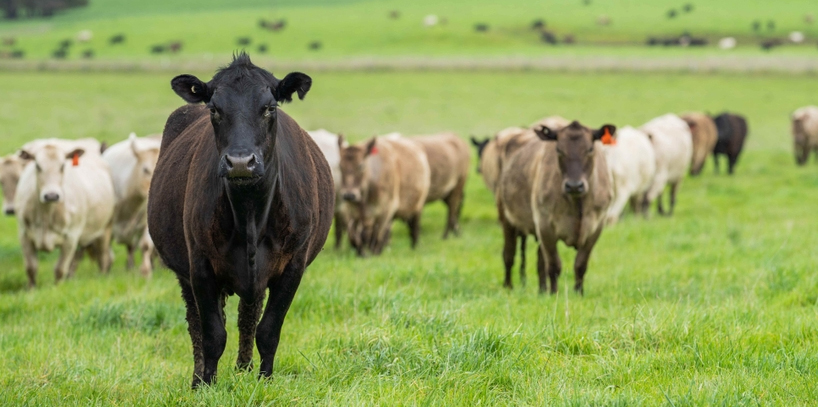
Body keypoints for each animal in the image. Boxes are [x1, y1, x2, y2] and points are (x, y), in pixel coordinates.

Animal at [15, 143, 115, 288]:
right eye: (37, 166)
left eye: (62, 166)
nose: (51, 195)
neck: (46, 215)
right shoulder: (24, 235)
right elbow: (31, 267)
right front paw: (31, 289)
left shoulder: (70, 237)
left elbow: (60, 269)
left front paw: (57, 288)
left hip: (105, 229)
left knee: (103, 257)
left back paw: (102, 277)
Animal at [102, 133, 161, 277]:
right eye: (145, 169)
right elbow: (106, 244)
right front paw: (106, 267)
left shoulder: (145, 221)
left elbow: (145, 245)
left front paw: (146, 271)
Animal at [147, 53, 334, 388]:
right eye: (214, 109)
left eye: (270, 107)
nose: (240, 162)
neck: (249, 213)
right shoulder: (200, 265)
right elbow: (211, 333)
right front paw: (206, 385)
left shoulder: (293, 265)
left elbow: (268, 330)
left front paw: (265, 381)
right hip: (186, 272)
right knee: (196, 323)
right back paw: (199, 376)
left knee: (248, 315)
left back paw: (245, 368)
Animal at [497, 121, 614, 294]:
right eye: (559, 150)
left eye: (590, 149)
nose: (574, 185)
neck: (577, 204)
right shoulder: (546, 226)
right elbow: (553, 265)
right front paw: (554, 293)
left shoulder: (596, 227)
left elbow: (580, 264)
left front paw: (579, 293)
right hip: (507, 218)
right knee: (509, 254)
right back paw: (509, 287)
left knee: (540, 261)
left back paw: (541, 291)